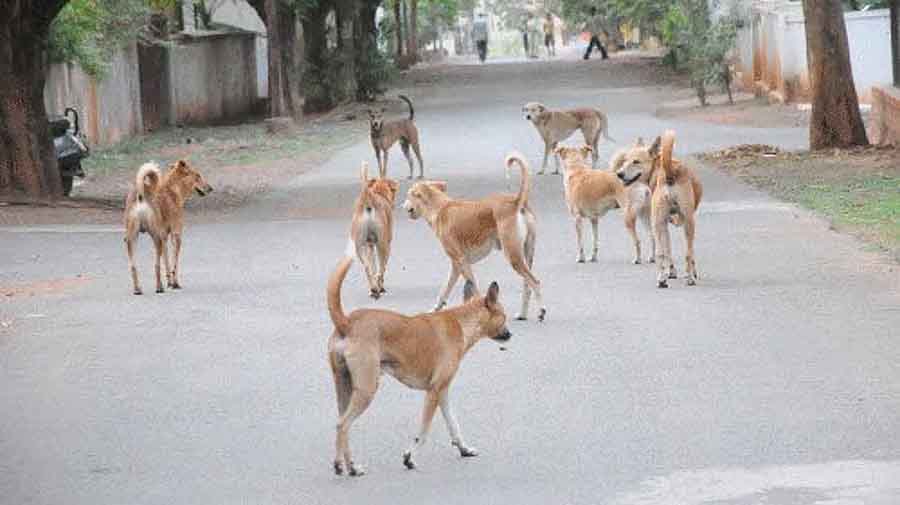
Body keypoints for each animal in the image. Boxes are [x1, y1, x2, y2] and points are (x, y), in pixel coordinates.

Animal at [124, 160, 213, 295]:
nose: (210, 188)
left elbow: (166, 261)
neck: (172, 189)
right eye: (197, 176)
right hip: (156, 238)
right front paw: (174, 283)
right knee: (156, 265)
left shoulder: (165, 236)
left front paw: (169, 282)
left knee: (134, 266)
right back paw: (159, 287)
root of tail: (141, 194)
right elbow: (174, 263)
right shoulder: (176, 235)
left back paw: (138, 289)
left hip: (132, 238)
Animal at [327, 255, 511, 476]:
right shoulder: (434, 392)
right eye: (504, 316)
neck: (462, 322)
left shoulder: (443, 392)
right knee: (343, 425)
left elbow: (454, 425)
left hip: (345, 388)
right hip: (366, 390)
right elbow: (423, 431)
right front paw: (411, 457)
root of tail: (347, 322)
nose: (510, 334)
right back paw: (349, 466)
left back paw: (345, 464)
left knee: (341, 424)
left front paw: (464, 449)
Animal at [349, 161, 399, 298]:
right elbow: (381, 267)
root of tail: (368, 197)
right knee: (381, 269)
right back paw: (379, 288)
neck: (379, 192)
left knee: (367, 267)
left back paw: (373, 288)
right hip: (383, 244)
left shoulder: (370, 245)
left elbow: (373, 265)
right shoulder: (386, 243)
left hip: (360, 246)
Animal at [401, 153, 546, 321]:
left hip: (513, 256)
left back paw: (541, 311)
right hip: (526, 255)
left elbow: (474, 289)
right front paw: (435, 309)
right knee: (527, 285)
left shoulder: (462, 262)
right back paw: (523, 314)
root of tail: (515, 202)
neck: (440, 208)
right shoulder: (456, 265)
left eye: (409, 195)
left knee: (535, 282)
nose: (402, 206)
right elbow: (444, 289)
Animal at [612, 131, 702, 287]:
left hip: (658, 223)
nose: (619, 174)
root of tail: (669, 173)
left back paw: (662, 279)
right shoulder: (676, 222)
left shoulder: (667, 223)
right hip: (681, 223)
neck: (658, 166)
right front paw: (684, 272)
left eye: (636, 162)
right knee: (685, 252)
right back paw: (687, 278)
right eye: (625, 161)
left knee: (662, 253)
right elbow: (682, 252)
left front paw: (674, 272)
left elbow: (669, 251)